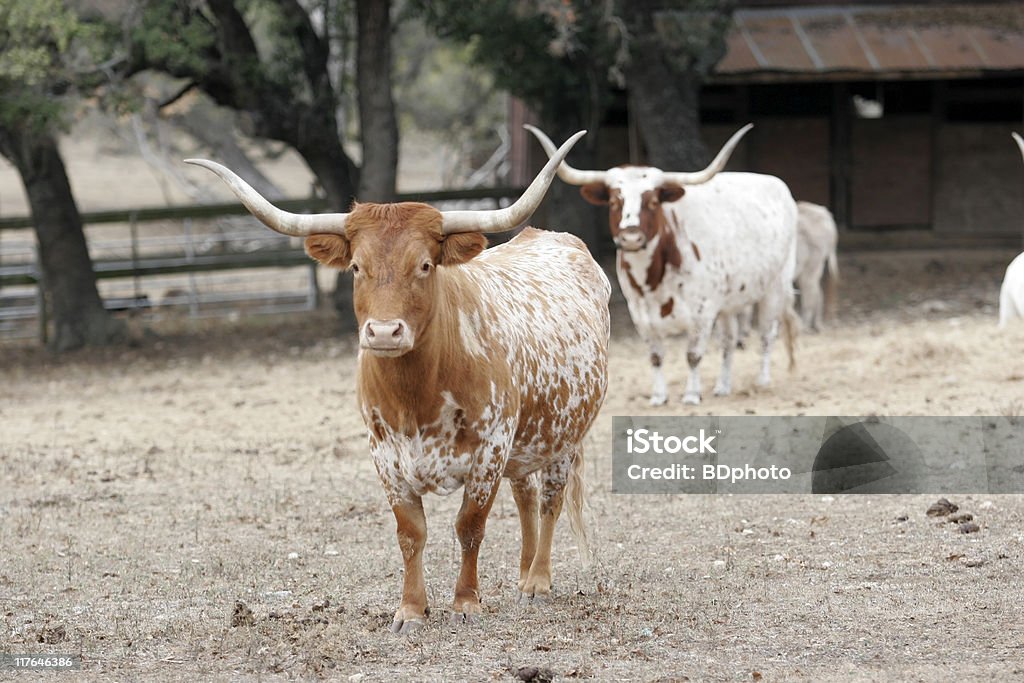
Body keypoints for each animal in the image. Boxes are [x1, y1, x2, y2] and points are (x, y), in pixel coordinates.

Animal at [186, 132, 606, 634]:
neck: (417, 396)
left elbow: (469, 526)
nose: (385, 332)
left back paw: (538, 581)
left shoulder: (489, 450)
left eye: (424, 265)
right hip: (525, 442)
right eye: (356, 267)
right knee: (525, 497)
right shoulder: (385, 455)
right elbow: (411, 533)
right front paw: (410, 609)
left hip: (562, 437)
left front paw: (465, 602)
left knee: (549, 501)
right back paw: (524, 576)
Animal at [532, 124, 794, 405]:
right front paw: (659, 396)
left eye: (653, 202)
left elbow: (693, 355)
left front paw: (691, 394)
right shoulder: (640, 314)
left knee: (767, 334)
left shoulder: (703, 311)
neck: (654, 280)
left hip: (775, 287)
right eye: (614, 201)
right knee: (728, 341)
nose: (631, 238)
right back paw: (723, 385)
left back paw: (763, 381)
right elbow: (656, 356)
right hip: (729, 302)